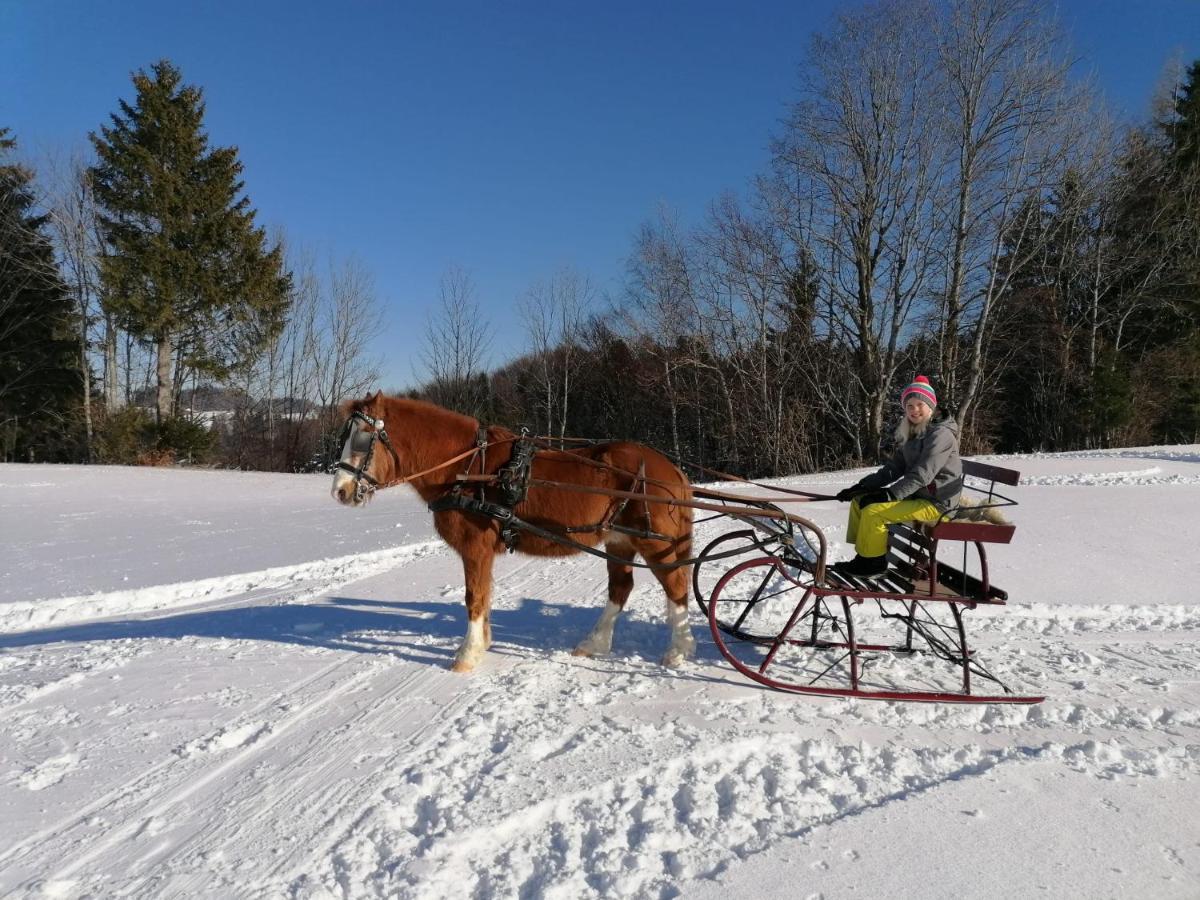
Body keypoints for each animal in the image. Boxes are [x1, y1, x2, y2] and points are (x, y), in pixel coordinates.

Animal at [333, 391, 700, 672]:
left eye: (363, 438)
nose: (340, 491)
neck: (466, 468)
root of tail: (671, 469)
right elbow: (484, 595)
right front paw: (483, 642)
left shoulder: (475, 547)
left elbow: (474, 596)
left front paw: (467, 654)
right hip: (619, 541)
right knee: (621, 589)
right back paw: (593, 643)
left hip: (655, 544)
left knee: (676, 586)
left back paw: (678, 649)